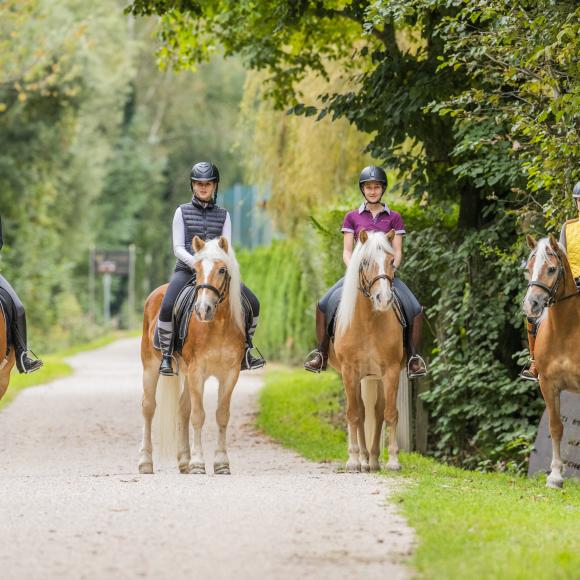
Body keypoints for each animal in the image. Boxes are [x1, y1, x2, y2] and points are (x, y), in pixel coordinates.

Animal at [139, 237, 246, 476]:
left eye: (222, 270)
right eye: (196, 270)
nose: (203, 309)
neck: (218, 324)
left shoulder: (230, 373)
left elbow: (221, 415)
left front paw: (221, 463)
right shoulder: (198, 372)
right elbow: (199, 415)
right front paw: (198, 463)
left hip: (186, 373)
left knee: (182, 408)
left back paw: (183, 461)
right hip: (151, 366)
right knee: (148, 407)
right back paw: (145, 462)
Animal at [328, 229, 406, 474]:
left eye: (391, 261)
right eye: (365, 262)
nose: (384, 299)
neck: (370, 321)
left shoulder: (391, 371)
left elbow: (389, 413)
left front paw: (393, 460)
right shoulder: (349, 371)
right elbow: (354, 414)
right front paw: (353, 460)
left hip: (375, 376)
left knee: (377, 411)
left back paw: (372, 459)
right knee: (362, 412)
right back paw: (363, 459)